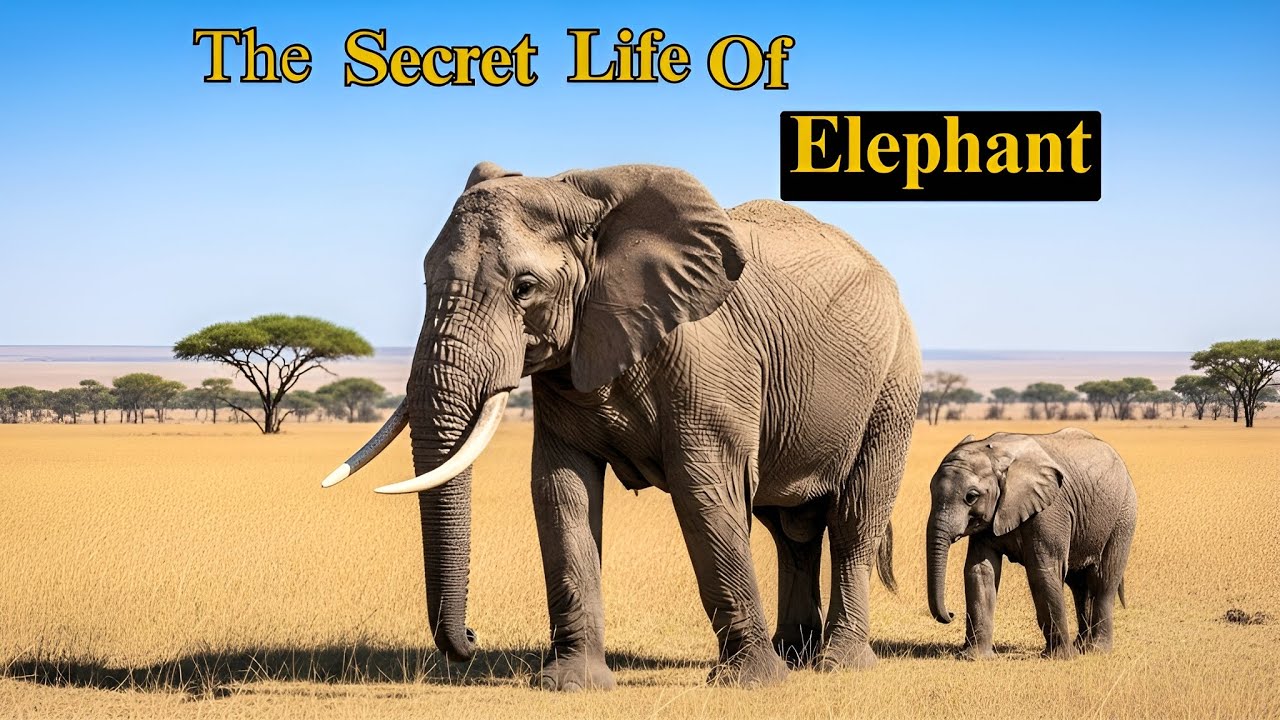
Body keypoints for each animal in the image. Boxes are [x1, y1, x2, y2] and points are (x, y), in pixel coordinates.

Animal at [321, 163, 922, 690]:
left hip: (894, 382)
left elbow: (707, 493)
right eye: (424, 278)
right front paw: (571, 684)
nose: (471, 637)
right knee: (791, 530)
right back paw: (796, 655)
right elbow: (561, 490)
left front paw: (751, 683)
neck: (580, 196)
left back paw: (837, 665)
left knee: (853, 519)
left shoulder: (708, 366)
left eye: (524, 288)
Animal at [926, 429, 1137, 660]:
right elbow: (980, 570)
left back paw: (1095, 650)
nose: (950, 614)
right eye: (930, 490)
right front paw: (975, 658)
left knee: (1104, 580)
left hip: (1123, 515)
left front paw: (1062, 658)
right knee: (1079, 586)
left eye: (971, 497)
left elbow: (1042, 571)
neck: (995, 456)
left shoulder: (1050, 509)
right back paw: (1081, 646)